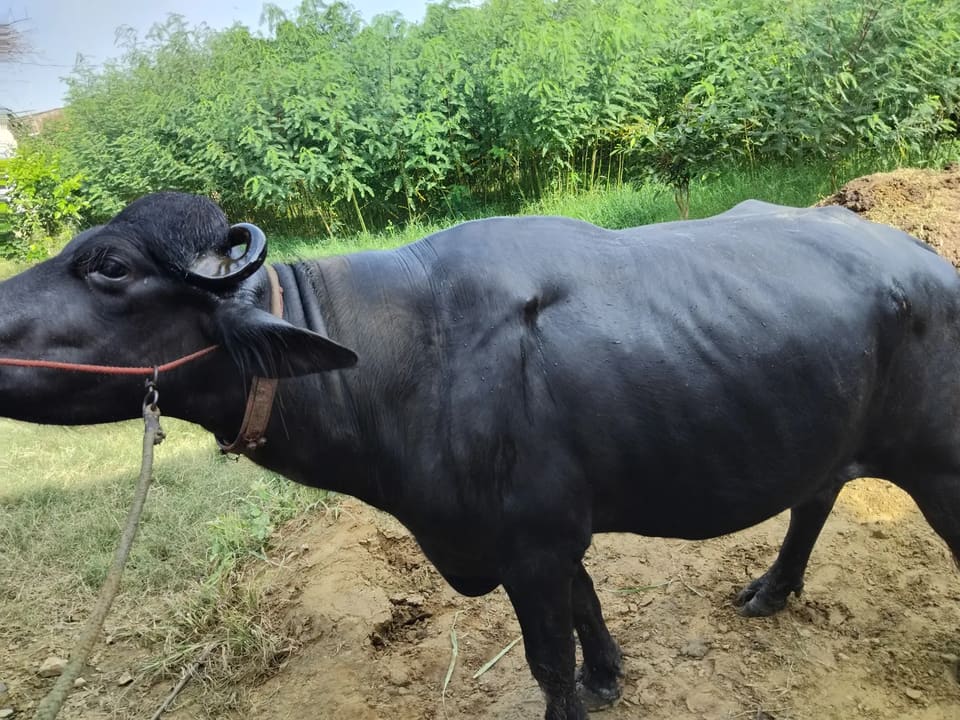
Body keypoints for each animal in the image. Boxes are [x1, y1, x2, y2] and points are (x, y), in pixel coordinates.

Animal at [1, 192, 958, 719]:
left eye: (110, 267)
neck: (396, 359)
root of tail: (927, 262)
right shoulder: (549, 538)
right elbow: (587, 609)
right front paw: (611, 678)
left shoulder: (529, 547)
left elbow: (548, 660)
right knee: (816, 496)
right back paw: (771, 588)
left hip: (940, 465)